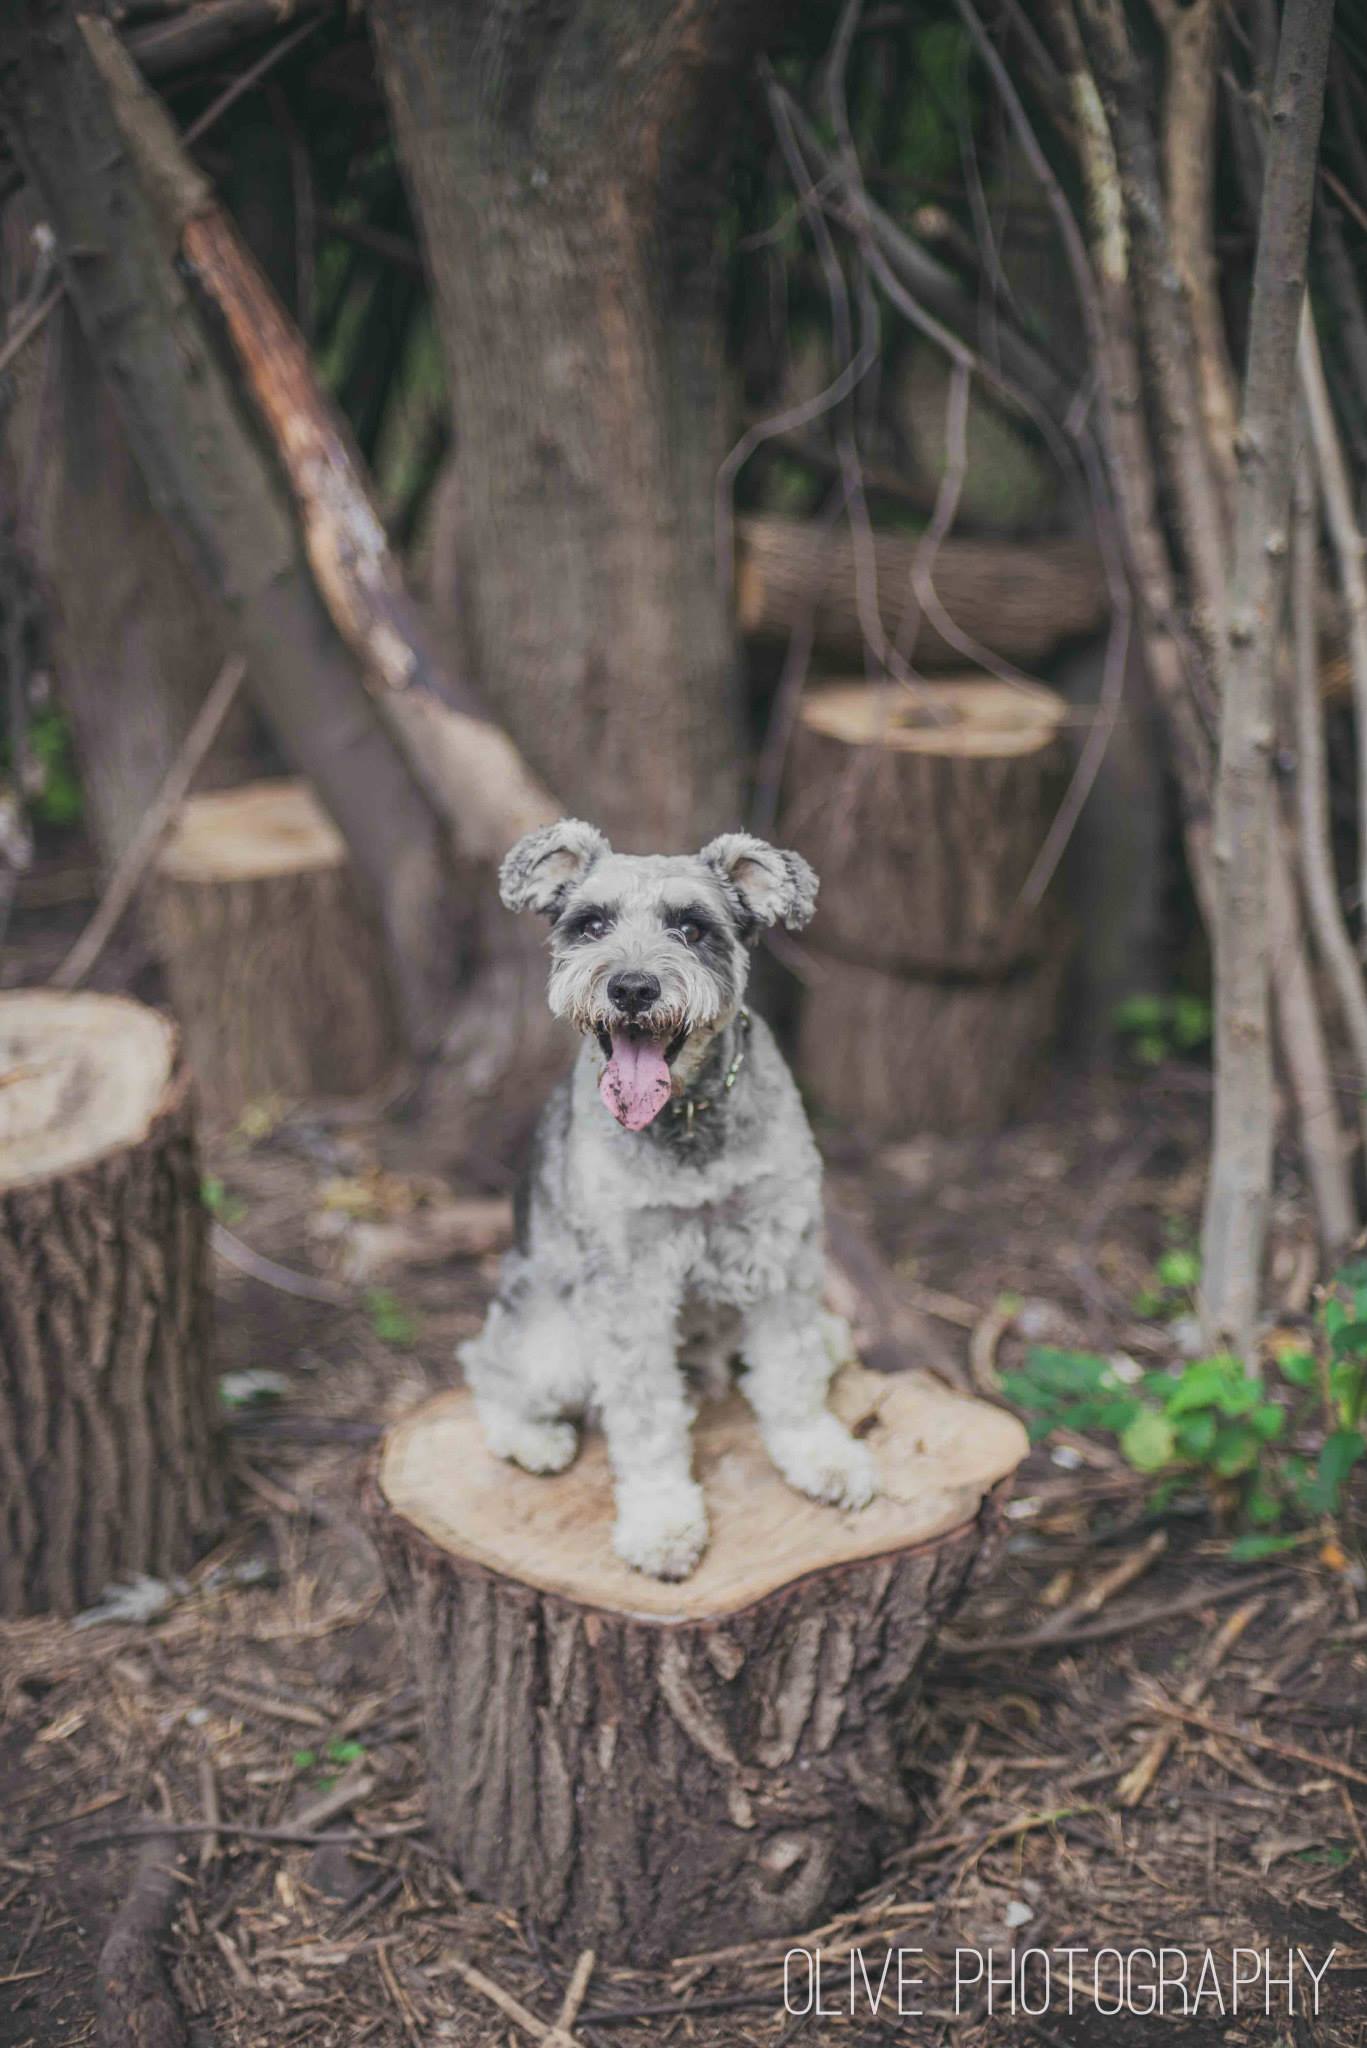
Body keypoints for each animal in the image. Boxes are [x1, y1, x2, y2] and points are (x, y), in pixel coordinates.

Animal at [459, 819, 877, 1581]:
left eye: (691, 926)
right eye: (590, 923)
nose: (631, 987)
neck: (685, 1118)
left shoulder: (779, 1249)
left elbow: (791, 1369)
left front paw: (819, 1454)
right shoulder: (630, 1286)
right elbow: (646, 1413)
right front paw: (661, 1521)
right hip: (553, 1344)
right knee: (487, 1362)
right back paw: (533, 1439)